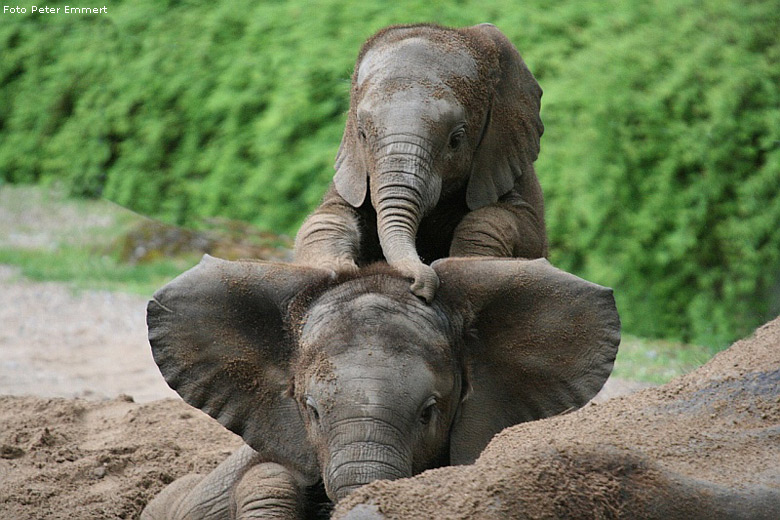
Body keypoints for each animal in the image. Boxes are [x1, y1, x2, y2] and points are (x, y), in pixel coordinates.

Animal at [296, 23, 544, 300]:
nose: (419, 285)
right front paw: (338, 270)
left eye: (456, 139)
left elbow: (512, 223)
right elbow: (327, 218)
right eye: (362, 134)